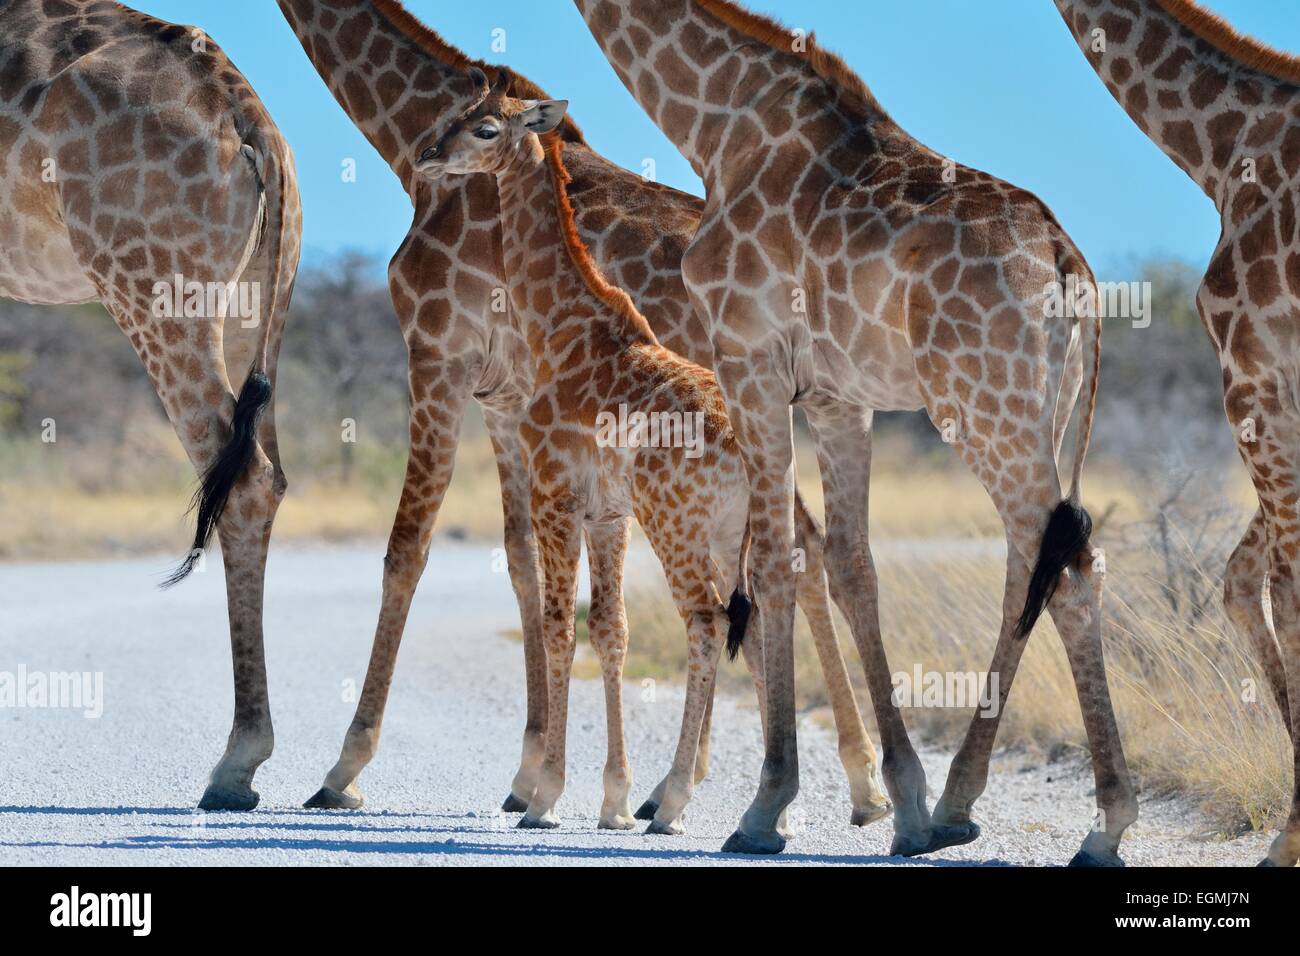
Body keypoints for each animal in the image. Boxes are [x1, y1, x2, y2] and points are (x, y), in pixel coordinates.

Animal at [1, 0, 299, 811]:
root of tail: (248, 114)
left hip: (152, 283)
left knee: (241, 476)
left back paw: (235, 762)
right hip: (251, 296)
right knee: (266, 467)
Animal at [271, 0, 883, 827]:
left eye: (478, 128)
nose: (434, 155)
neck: (401, 135)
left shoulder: (439, 357)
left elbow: (408, 550)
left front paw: (346, 768)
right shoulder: (506, 404)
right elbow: (523, 563)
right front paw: (534, 770)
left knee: (784, 565)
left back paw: (839, 784)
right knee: (787, 560)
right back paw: (801, 787)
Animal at [577, 0, 1138, 868]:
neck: (720, 128)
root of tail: (1066, 260)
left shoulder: (752, 364)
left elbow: (774, 567)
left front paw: (765, 809)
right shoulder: (840, 396)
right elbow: (851, 565)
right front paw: (902, 803)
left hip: (983, 406)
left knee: (1070, 571)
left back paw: (1105, 823)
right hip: (1037, 410)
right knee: (1042, 562)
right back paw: (959, 803)